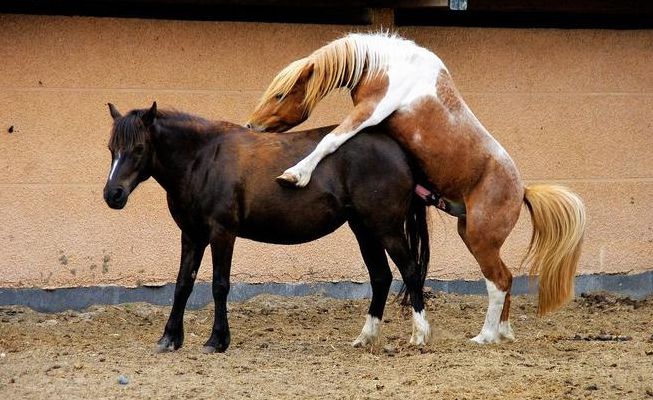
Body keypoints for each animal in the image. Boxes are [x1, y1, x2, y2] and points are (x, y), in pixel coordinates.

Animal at [103, 101, 432, 352]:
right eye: (111, 147)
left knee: (410, 271)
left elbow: (219, 285)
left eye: (139, 147)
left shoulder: (222, 233)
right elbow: (183, 284)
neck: (204, 159)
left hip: (386, 228)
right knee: (381, 277)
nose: (112, 194)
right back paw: (366, 337)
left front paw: (217, 340)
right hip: (364, 229)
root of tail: (399, 152)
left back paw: (419, 336)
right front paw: (170, 338)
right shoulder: (192, 236)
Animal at [248, 32, 584, 344]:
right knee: (508, 278)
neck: (388, 66)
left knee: (499, 281)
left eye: (280, 94)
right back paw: (504, 332)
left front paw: (294, 174)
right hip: (471, 234)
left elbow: (331, 139)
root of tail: (522, 191)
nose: (252, 126)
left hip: (481, 240)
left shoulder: (370, 111)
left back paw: (484, 336)